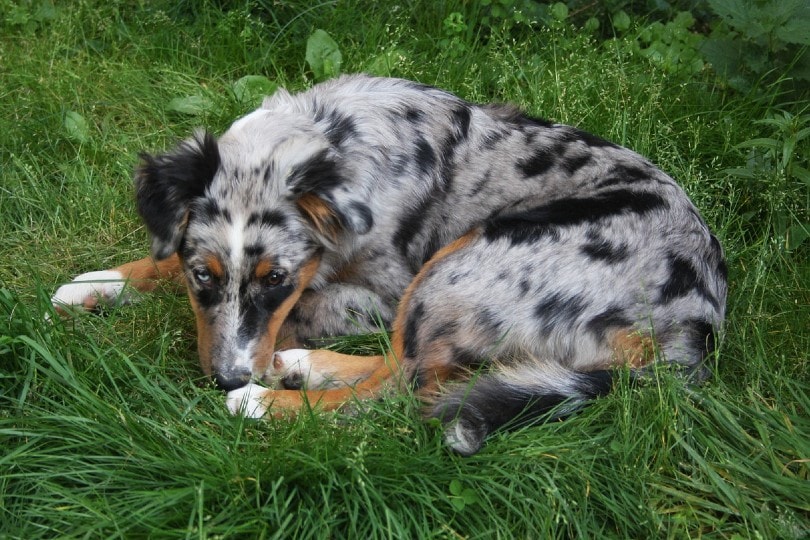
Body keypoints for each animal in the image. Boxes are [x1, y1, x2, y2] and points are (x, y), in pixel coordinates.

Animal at [49, 75, 724, 456]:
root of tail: (694, 331)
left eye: (277, 280)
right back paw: (302, 368)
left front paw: (255, 373)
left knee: (399, 392)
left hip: (464, 261)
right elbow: (161, 263)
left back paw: (266, 401)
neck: (327, 142)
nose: (226, 378)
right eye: (203, 275)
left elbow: (303, 311)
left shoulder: (380, 291)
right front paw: (98, 284)